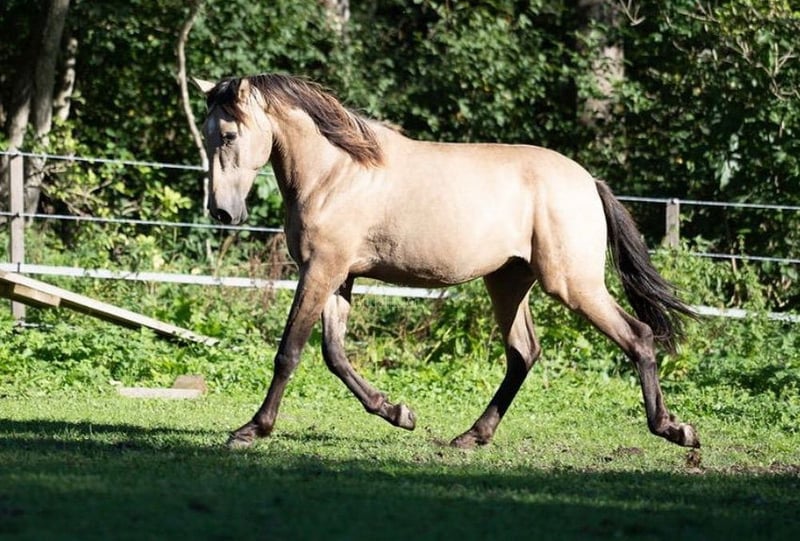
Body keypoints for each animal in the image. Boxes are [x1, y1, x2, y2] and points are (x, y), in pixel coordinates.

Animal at [194, 73, 700, 450]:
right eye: (206, 133)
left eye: (230, 134)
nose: (222, 212)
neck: (336, 173)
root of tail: (588, 181)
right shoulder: (338, 277)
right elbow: (335, 354)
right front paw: (398, 412)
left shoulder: (322, 270)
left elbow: (290, 352)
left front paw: (251, 429)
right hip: (508, 282)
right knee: (523, 353)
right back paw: (473, 436)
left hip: (572, 284)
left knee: (638, 336)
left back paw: (674, 429)